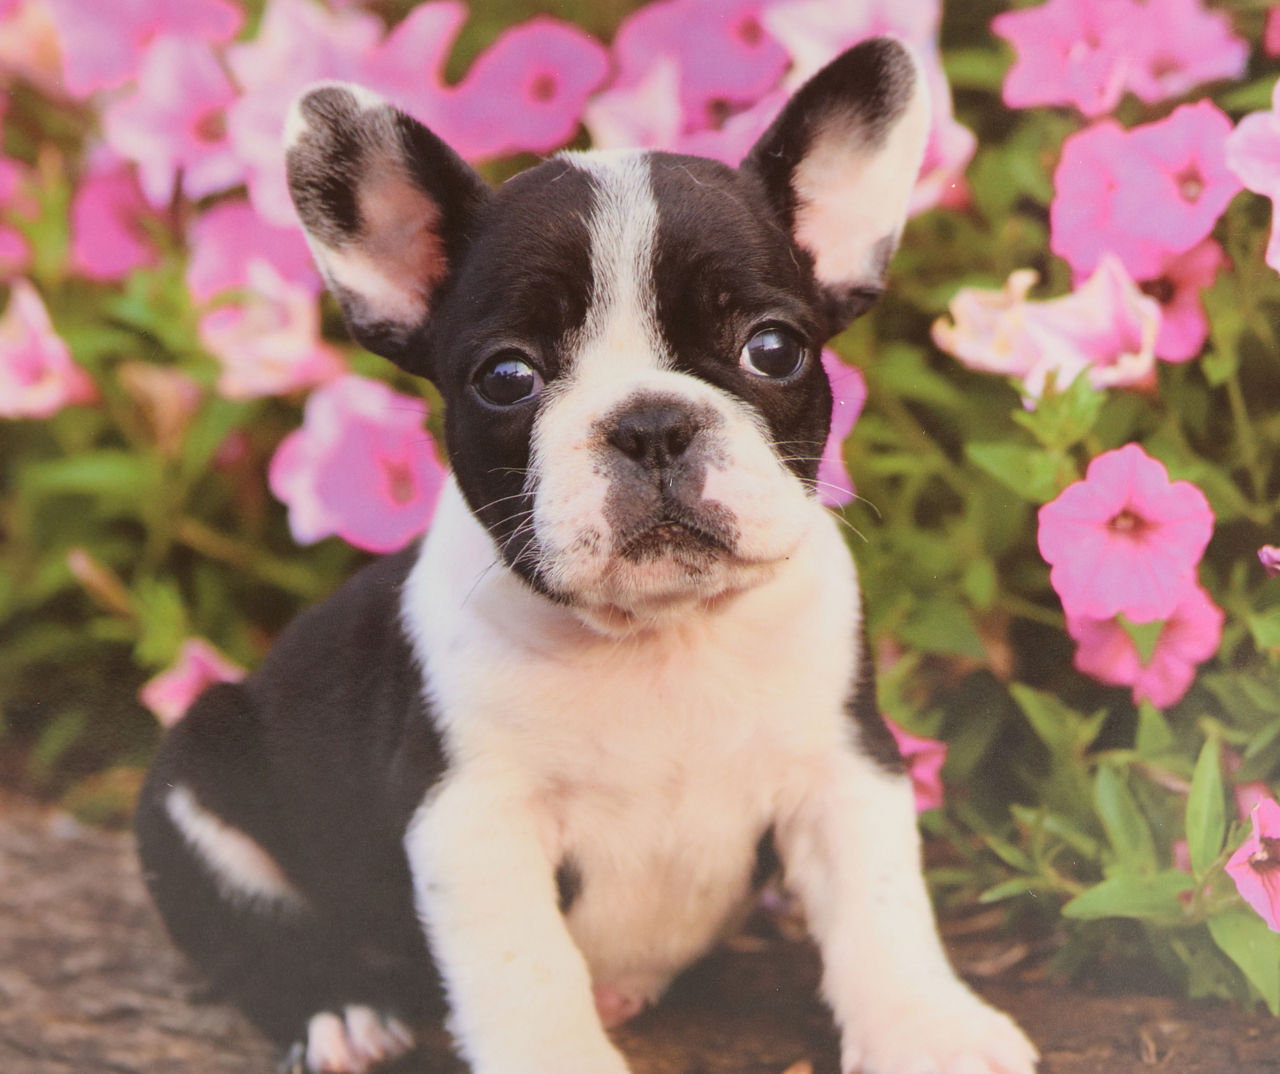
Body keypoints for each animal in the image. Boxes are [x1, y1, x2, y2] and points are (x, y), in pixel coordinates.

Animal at [137, 39, 1039, 1074]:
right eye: (507, 377)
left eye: (774, 348)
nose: (650, 423)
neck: (662, 638)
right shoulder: (472, 818)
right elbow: (525, 968)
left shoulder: (843, 766)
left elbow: (881, 910)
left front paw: (927, 1030)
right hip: (196, 778)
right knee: (253, 934)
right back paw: (338, 1013)